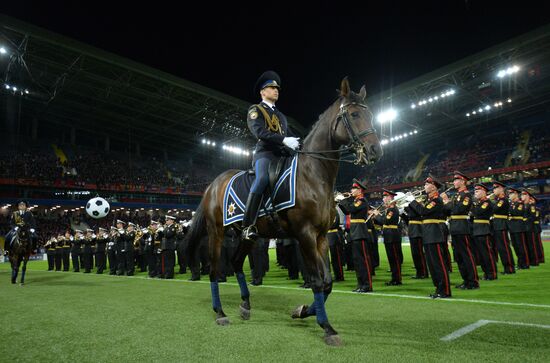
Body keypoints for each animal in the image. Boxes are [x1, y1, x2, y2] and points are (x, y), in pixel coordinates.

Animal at [185, 77, 384, 346]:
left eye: (370, 114)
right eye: (353, 114)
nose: (375, 151)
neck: (313, 175)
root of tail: (212, 184)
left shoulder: (321, 237)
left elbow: (327, 282)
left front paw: (303, 311)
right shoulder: (306, 235)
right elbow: (318, 281)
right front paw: (327, 327)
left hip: (248, 235)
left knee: (236, 263)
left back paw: (245, 305)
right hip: (216, 232)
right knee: (216, 269)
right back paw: (220, 313)